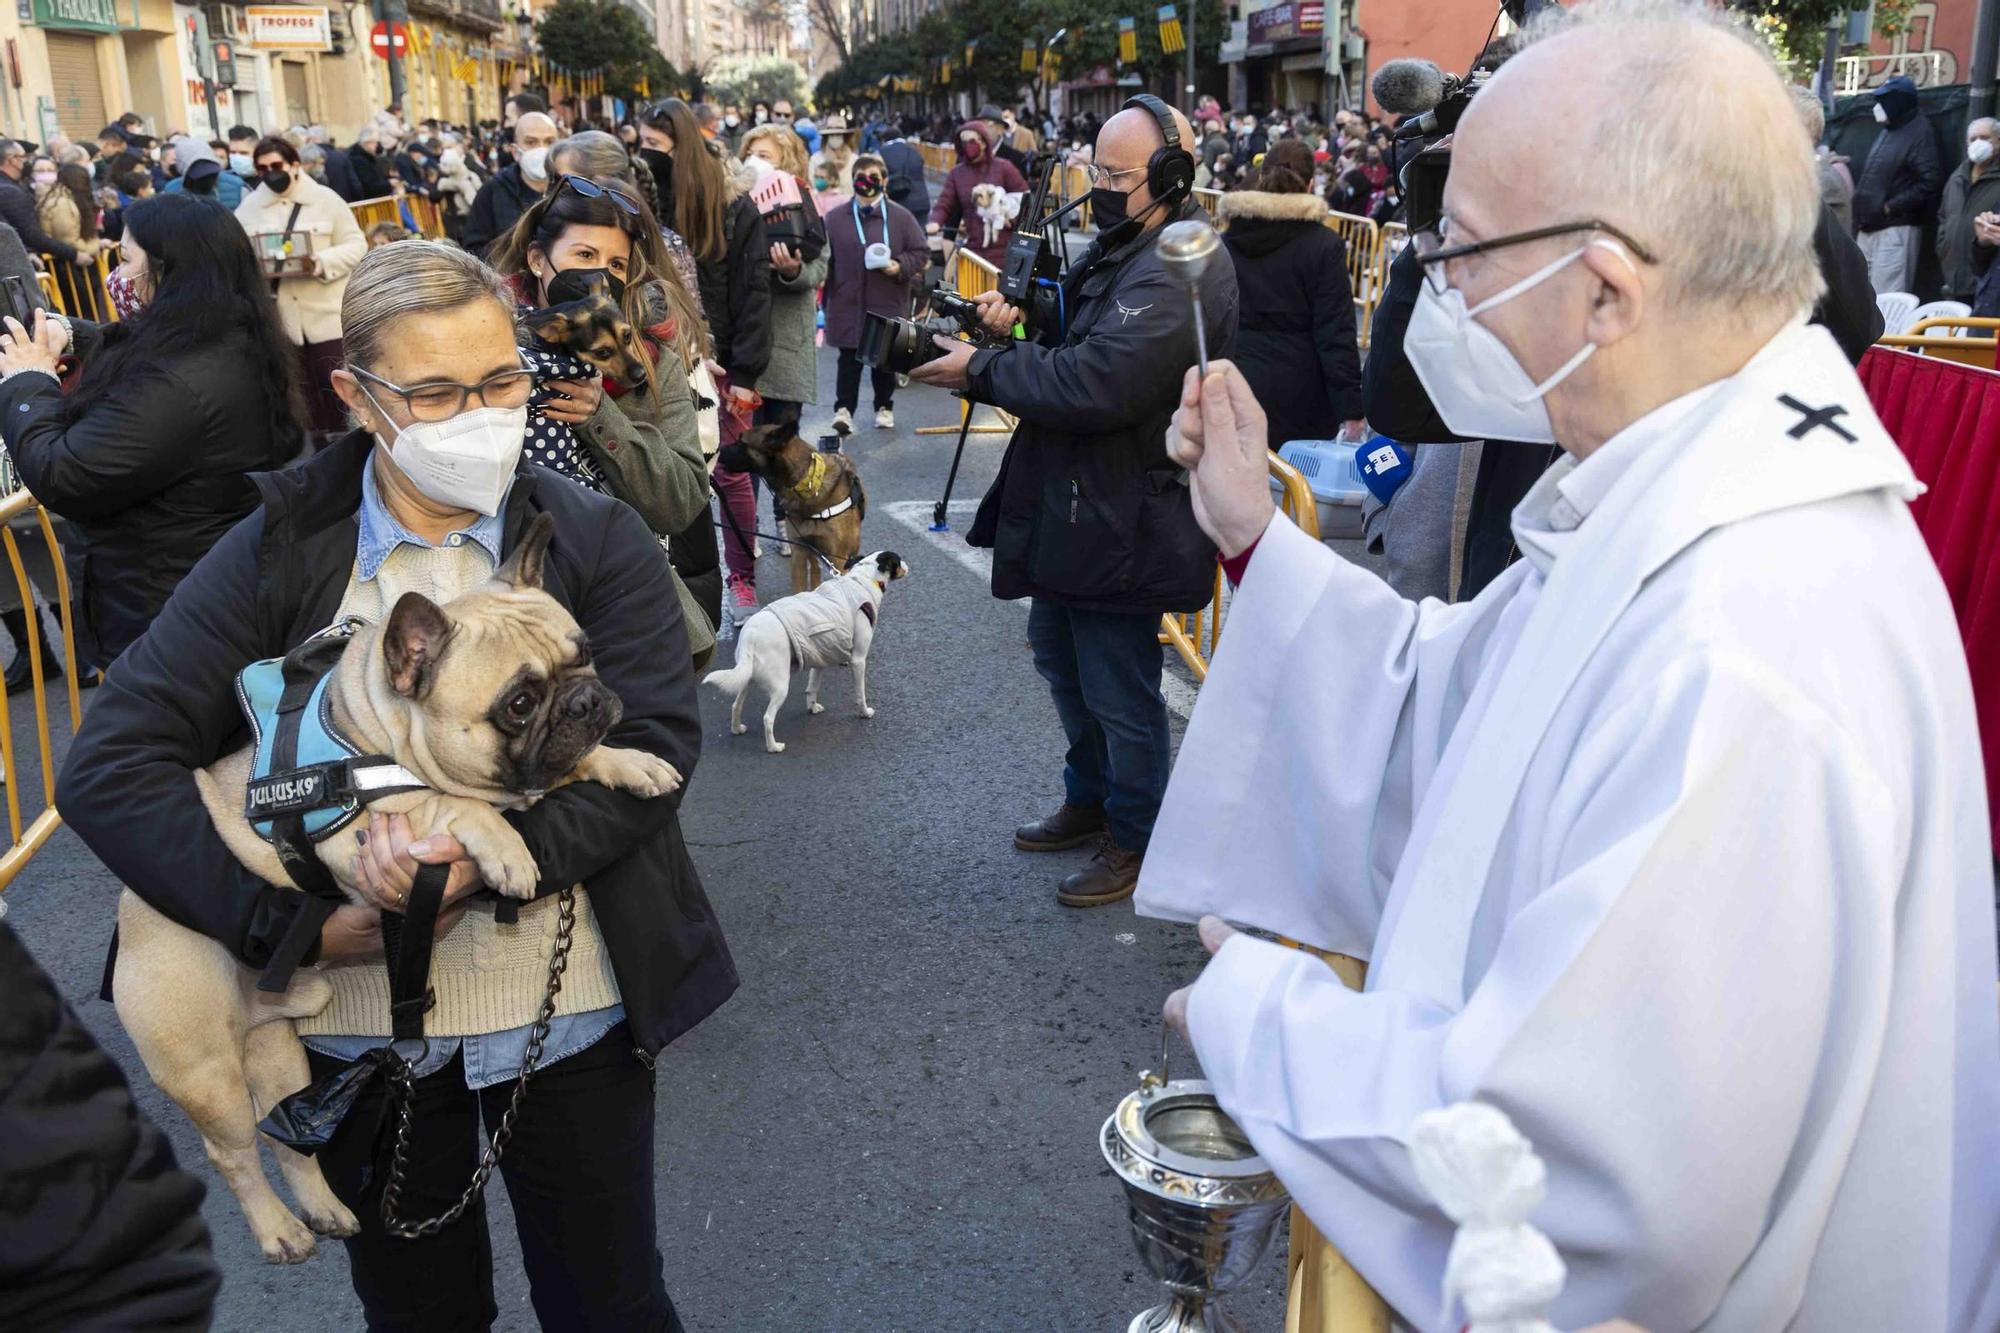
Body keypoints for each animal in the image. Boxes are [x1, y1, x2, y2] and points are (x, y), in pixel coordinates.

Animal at [704, 548, 916, 748]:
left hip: (746, 677)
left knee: (736, 705)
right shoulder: (858, 660)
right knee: (767, 718)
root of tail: (751, 635)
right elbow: (860, 693)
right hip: (780, 685)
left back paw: (737, 729)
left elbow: (812, 688)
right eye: (898, 560)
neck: (863, 580)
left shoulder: (819, 657)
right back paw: (774, 747)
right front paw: (864, 712)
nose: (907, 565)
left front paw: (812, 708)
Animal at [728, 418, 868, 588]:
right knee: (815, 569)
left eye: (741, 442)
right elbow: (799, 588)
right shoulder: (799, 554)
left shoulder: (838, 560)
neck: (808, 483)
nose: (718, 452)